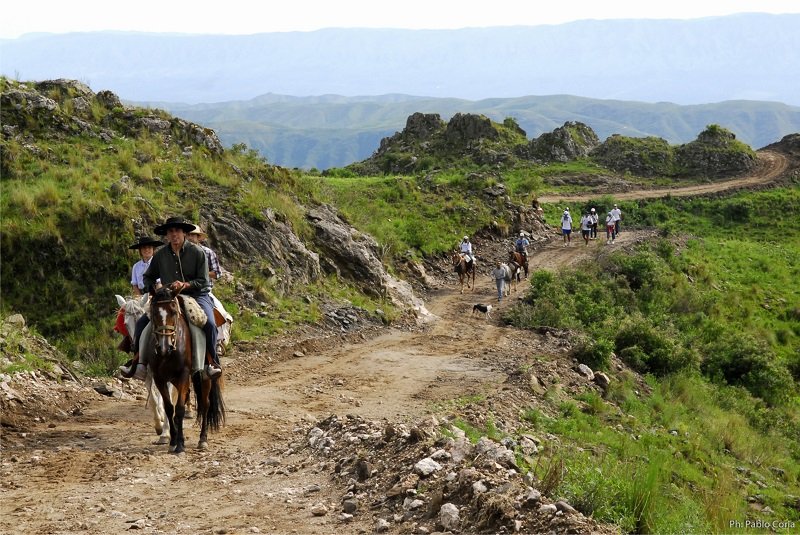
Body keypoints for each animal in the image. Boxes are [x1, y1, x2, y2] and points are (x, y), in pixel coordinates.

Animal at [148, 286, 223, 454]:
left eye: (173, 312)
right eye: (154, 313)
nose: (164, 347)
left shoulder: (183, 376)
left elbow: (180, 409)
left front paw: (180, 445)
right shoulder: (159, 378)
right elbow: (169, 408)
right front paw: (172, 441)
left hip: (205, 376)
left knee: (206, 404)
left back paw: (203, 439)